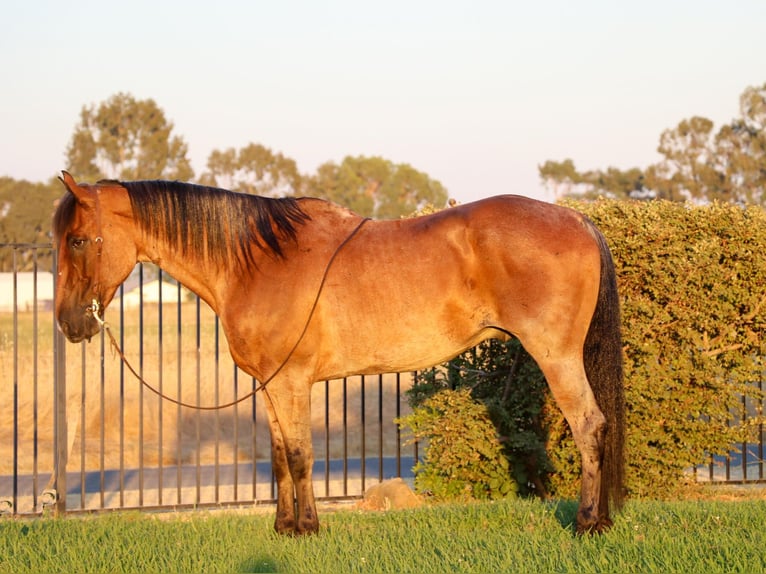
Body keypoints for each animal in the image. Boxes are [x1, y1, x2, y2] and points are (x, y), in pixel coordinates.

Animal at [53, 171, 625, 535]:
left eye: (78, 240)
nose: (67, 322)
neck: (255, 261)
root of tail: (577, 220)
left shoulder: (291, 382)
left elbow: (301, 454)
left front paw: (307, 527)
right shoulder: (270, 384)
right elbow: (279, 457)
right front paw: (284, 528)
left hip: (557, 358)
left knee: (589, 427)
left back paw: (587, 523)